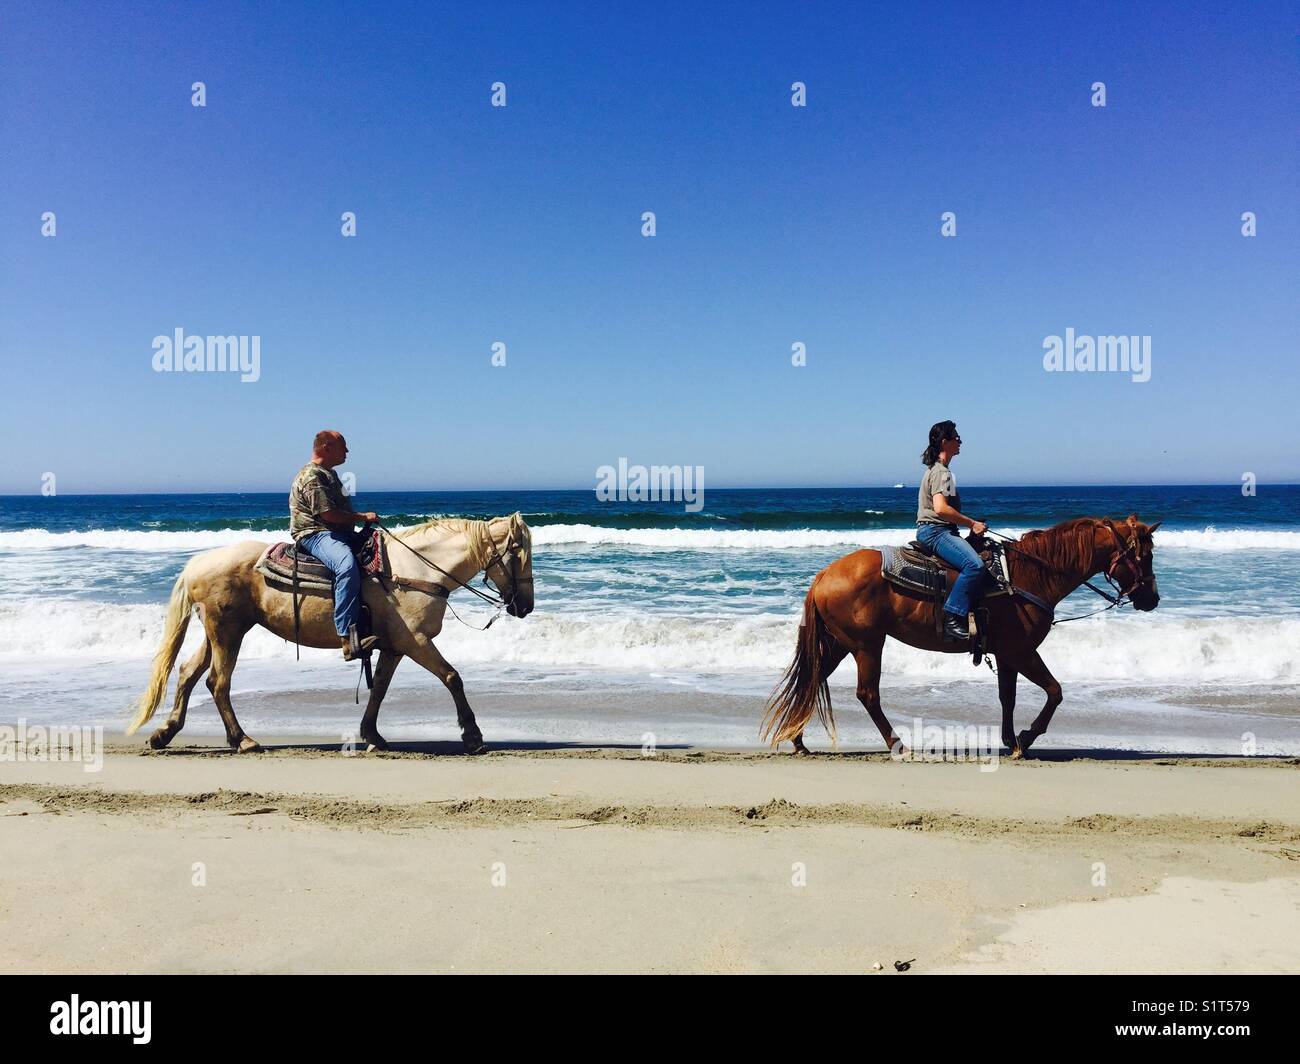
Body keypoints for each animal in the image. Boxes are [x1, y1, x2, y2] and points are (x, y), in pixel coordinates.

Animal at [128, 513, 534, 754]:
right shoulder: (415, 641)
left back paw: (165, 733)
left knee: (188, 673)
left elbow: (380, 689)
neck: (417, 570)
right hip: (227, 631)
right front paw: (473, 735)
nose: (525, 606)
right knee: (218, 682)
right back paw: (242, 740)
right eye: (518, 552)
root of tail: (197, 563)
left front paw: (372, 735)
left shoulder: (394, 646)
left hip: (221, 630)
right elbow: (452, 677)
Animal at [761, 515, 1161, 759]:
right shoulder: (1022, 650)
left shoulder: (1006, 654)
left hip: (841, 644)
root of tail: (824, 575)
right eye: (1144, 556)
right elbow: (1054, 692)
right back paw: (897, 744)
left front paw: (1010, 741)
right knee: (867, 694)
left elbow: (1008, 698)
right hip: (867, 645)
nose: (1152, 599)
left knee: (812, 680)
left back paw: (798, 739)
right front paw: (1027, 738)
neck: (1029, 575)